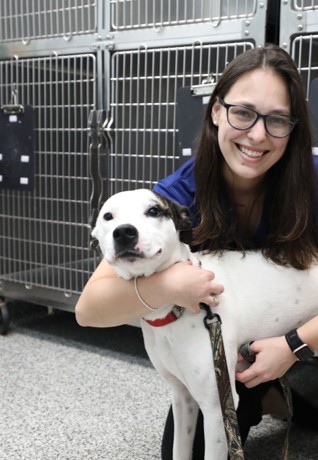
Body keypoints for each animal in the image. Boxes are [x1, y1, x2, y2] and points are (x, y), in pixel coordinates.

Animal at [91, 188, 318, 460]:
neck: (173, 310)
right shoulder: (182, 398)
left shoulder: (215, 409)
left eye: (154, 210)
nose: (124, 231)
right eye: (108, 216)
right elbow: (179, 449)